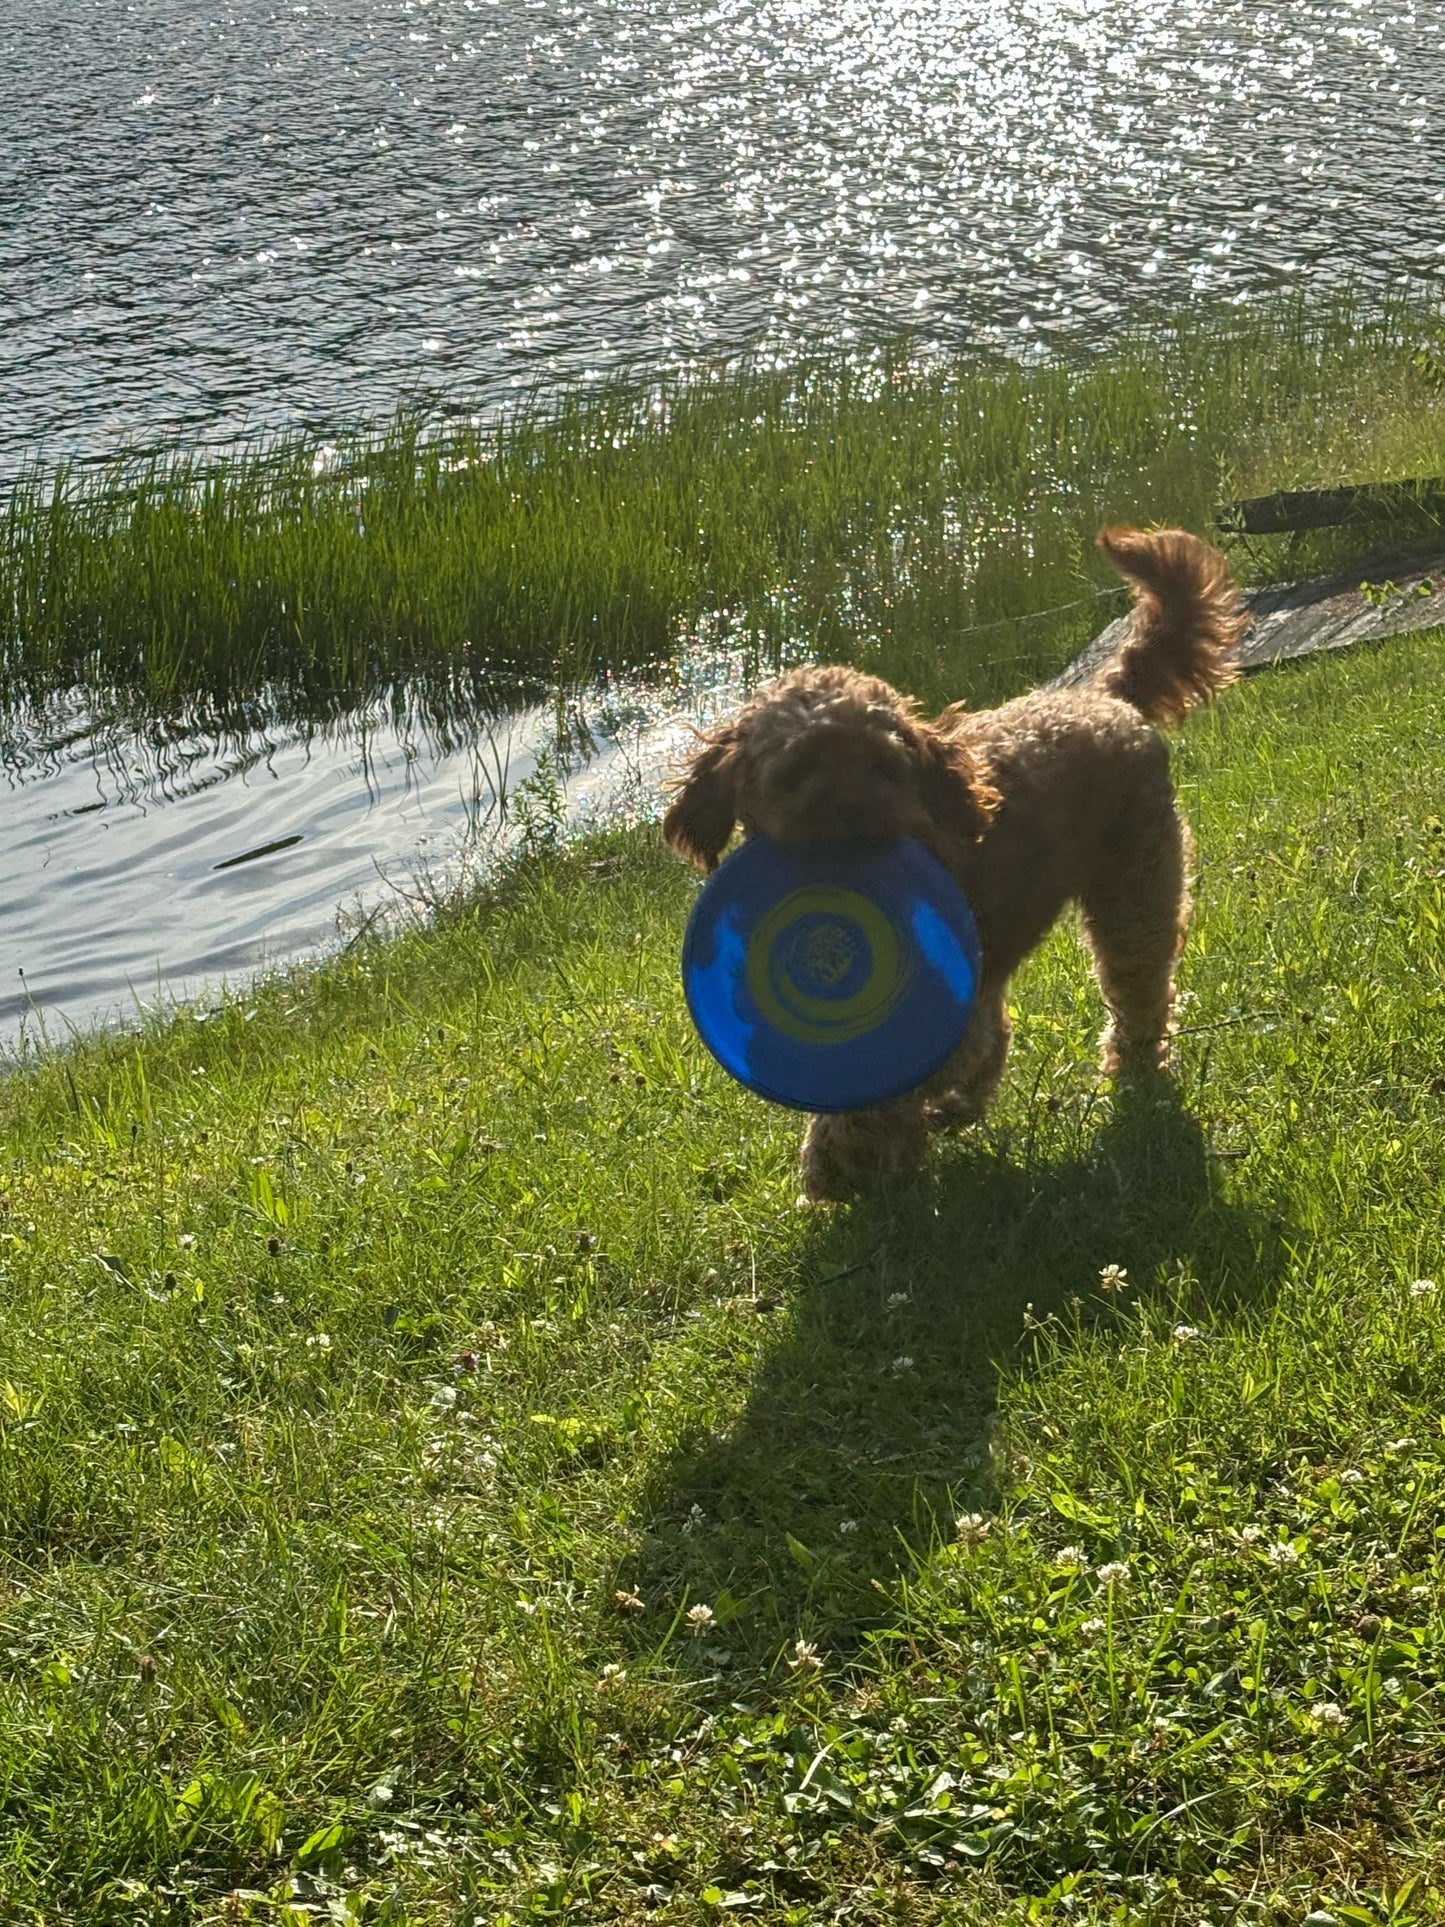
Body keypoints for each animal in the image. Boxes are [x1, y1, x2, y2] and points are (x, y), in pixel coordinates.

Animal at [662, 520, 1248, 1194]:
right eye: (797, 772)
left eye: (885, 767)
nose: (856, 814)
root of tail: (1107, 697)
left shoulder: (939, 1014)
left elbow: (883, 1094)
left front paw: (839, 1164)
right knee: (1003, 1034)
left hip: (1136, 887)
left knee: (1136, 988)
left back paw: (1131, 1068)